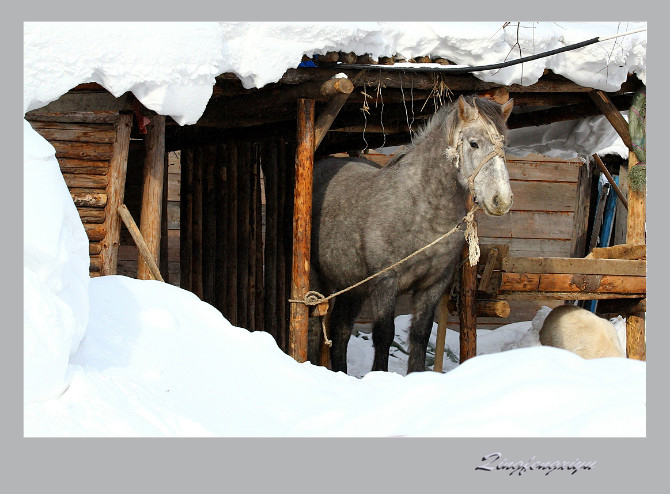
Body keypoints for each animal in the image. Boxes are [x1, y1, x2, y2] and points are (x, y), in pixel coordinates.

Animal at [310, 94, 516, 372]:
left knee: (340, 331)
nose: (501, 200)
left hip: (352, 286)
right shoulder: (386, 282)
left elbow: (420, 335)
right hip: (321, 281)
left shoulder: (433, 285)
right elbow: (383, 335)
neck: (419, 206)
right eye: (474, 143)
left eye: (504, 144)